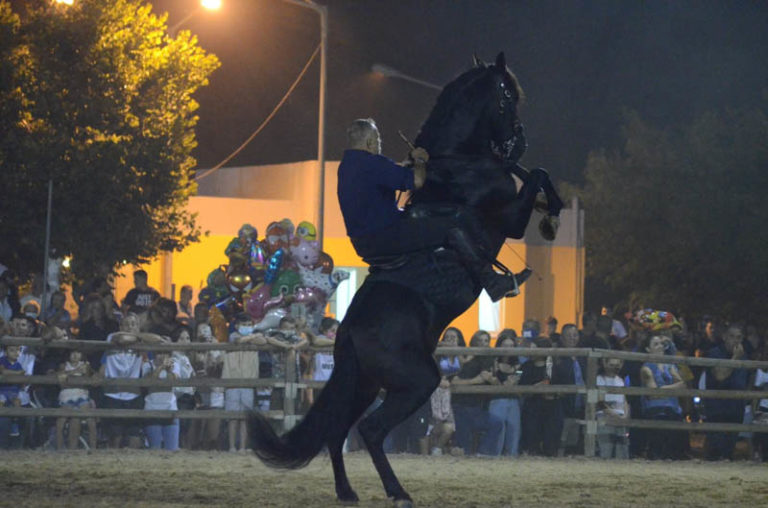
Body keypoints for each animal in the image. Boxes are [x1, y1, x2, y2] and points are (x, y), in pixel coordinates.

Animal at [250, 53, 564, 506]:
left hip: (363, 385)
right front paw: (549, 219)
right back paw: (397, 491)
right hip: (419, 380)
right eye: (507, 97)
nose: (517, 140)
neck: (456, 163)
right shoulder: (509, 218)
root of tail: (348, 332)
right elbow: (536, 172)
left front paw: (553, 209)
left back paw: (347, 491)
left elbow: (537, 174)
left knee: (337, 431)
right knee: (371, 430)